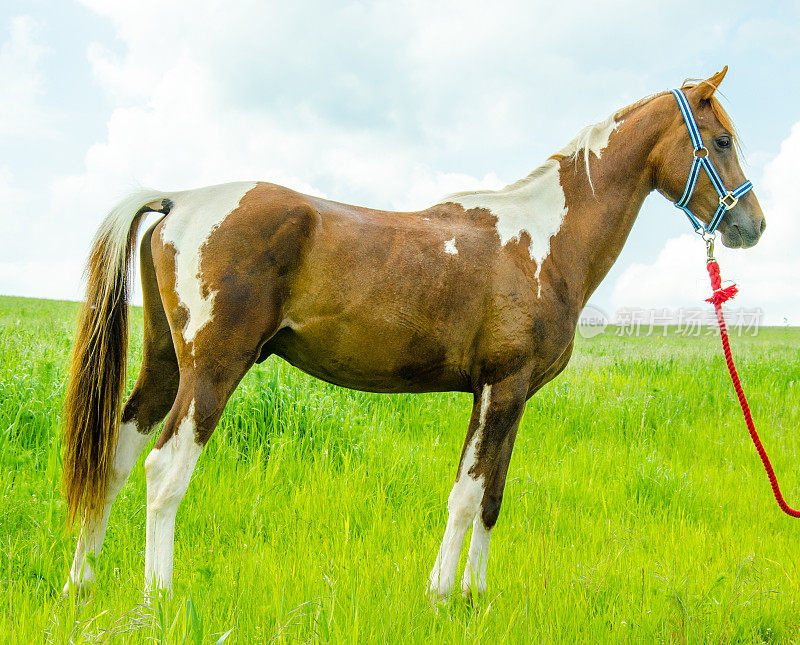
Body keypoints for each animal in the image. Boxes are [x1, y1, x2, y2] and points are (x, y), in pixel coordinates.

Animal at [61, 66, 764, 600]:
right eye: (722, 140)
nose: (751, 226)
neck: (545, 240)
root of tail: (179, 200)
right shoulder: (499, 387)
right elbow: (465, 495)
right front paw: (440, 595)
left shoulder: (511, 397)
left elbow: (491, 497)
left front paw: (476, 598)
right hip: (212, 370)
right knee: (164, 471)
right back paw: (159, 597)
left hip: (164, 366)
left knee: (114, 460)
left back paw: (80, 585)